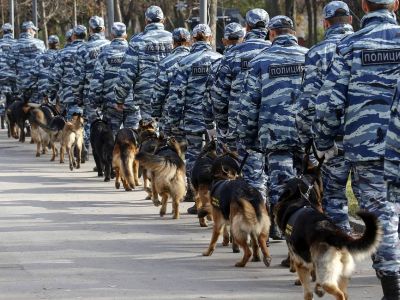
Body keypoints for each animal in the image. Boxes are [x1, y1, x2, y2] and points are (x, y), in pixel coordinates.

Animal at [276, 168, 382, 298]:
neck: (296, 204)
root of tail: (336, 235)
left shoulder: (300, 264)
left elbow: (307, 291)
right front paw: (317, 288)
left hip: (327, 277)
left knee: (339, 294)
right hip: (341, 275)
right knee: (344, 293)